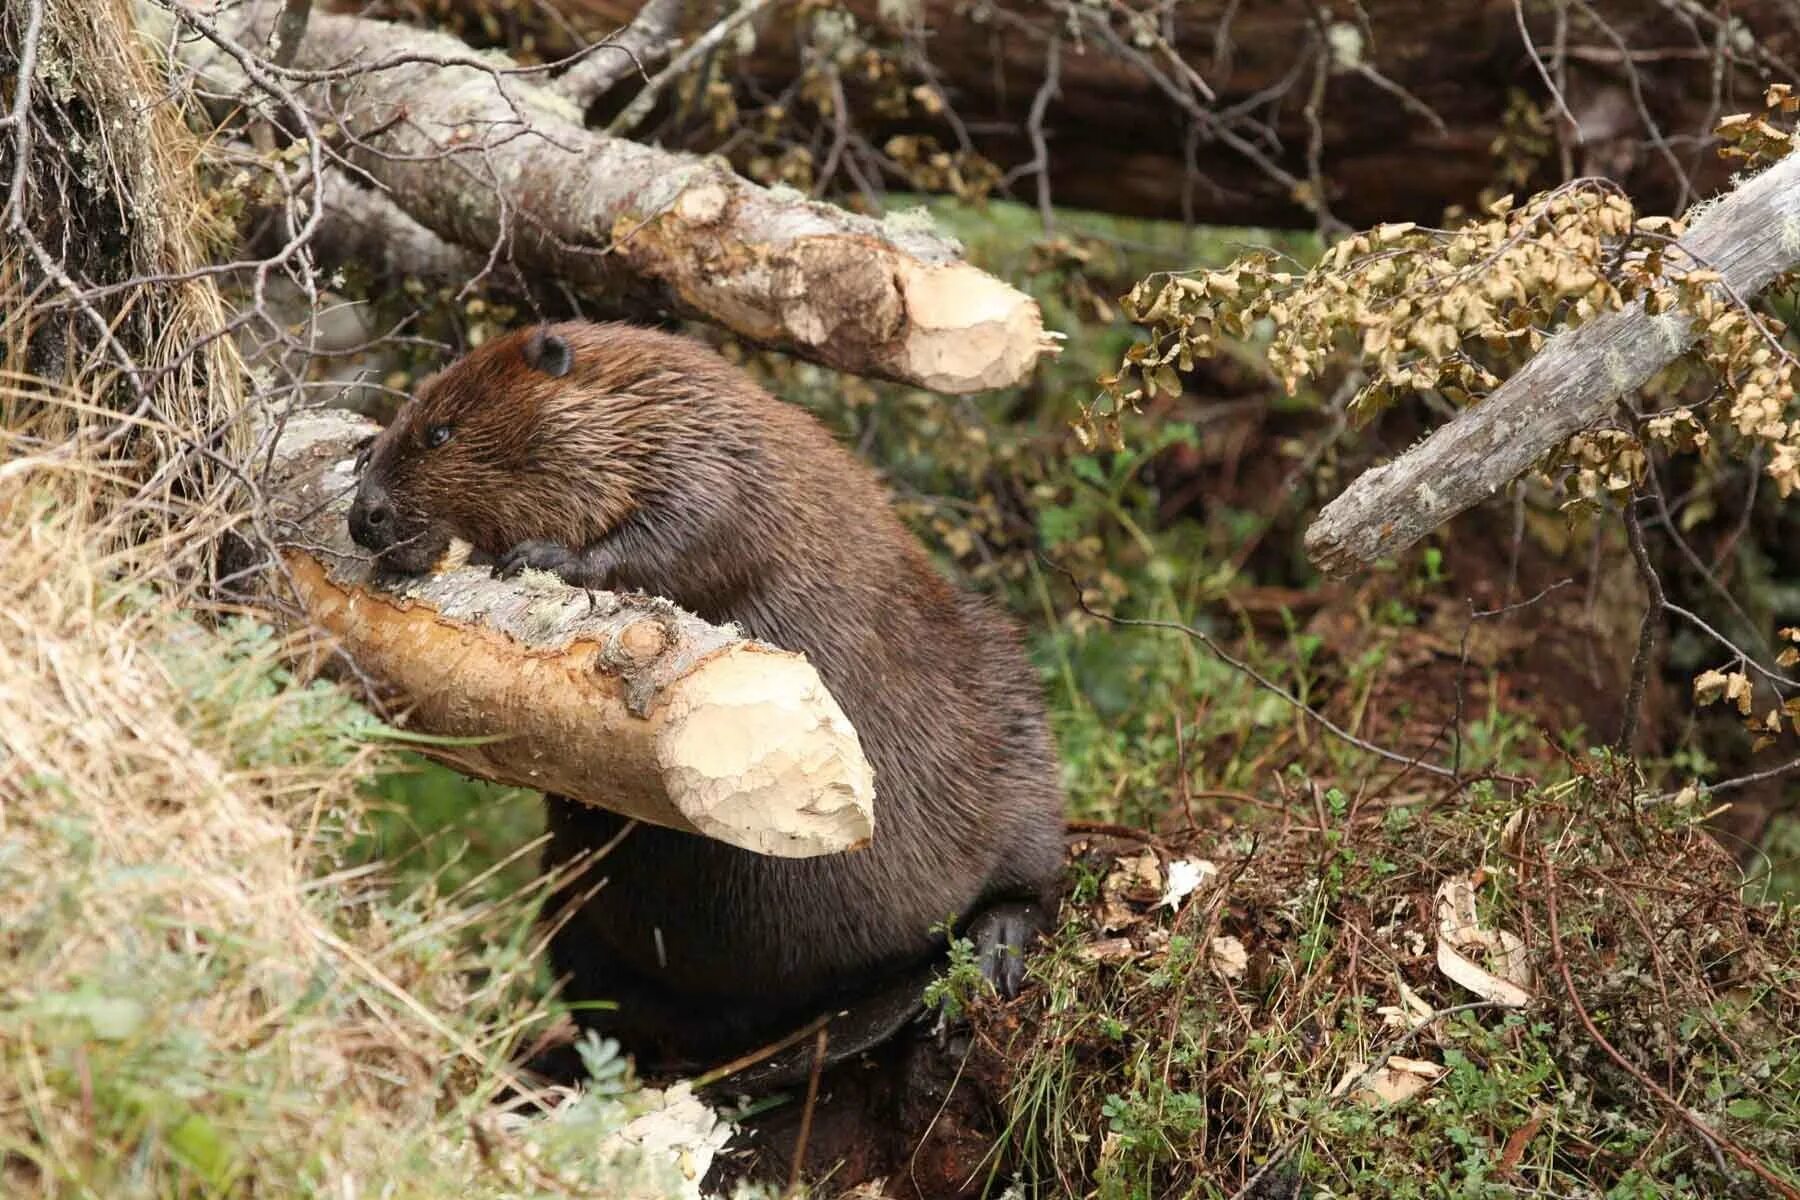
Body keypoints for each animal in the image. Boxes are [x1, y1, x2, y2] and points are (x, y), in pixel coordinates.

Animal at [343, 323, 1058, 1086]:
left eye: (440, 432)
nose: (365, 517)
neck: (647, 399)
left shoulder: (716, 458)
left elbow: (690, 529)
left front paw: (545, 556)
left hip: (1007, 702)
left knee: (1036, 872)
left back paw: (995, 948)